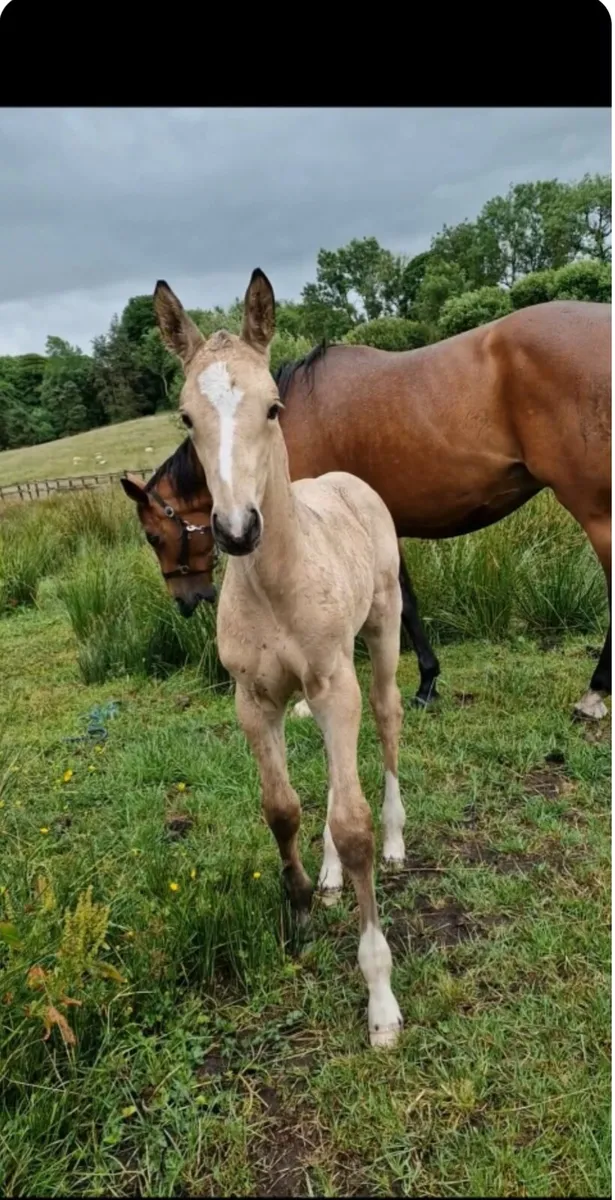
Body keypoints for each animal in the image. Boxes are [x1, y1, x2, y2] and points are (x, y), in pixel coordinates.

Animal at [123, 295, 612, 724]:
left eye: (153, 536)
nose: (187, 600)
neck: (283, 420)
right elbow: (405, 602)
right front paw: (427, 683)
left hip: (596, 511)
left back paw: (594, 693)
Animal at [154, 268, 406, 1049]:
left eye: (273, 406)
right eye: (185, 417)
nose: (237, 530)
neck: (273, 585)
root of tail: (348, 481)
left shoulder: (334, 684)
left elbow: (351, 825)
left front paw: (379, 999)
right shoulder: (255, 699)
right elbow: (282, 808)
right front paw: (298, 900)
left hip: (380, 636)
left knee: (386, 721)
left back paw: (397, 840)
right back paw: (324, 878)